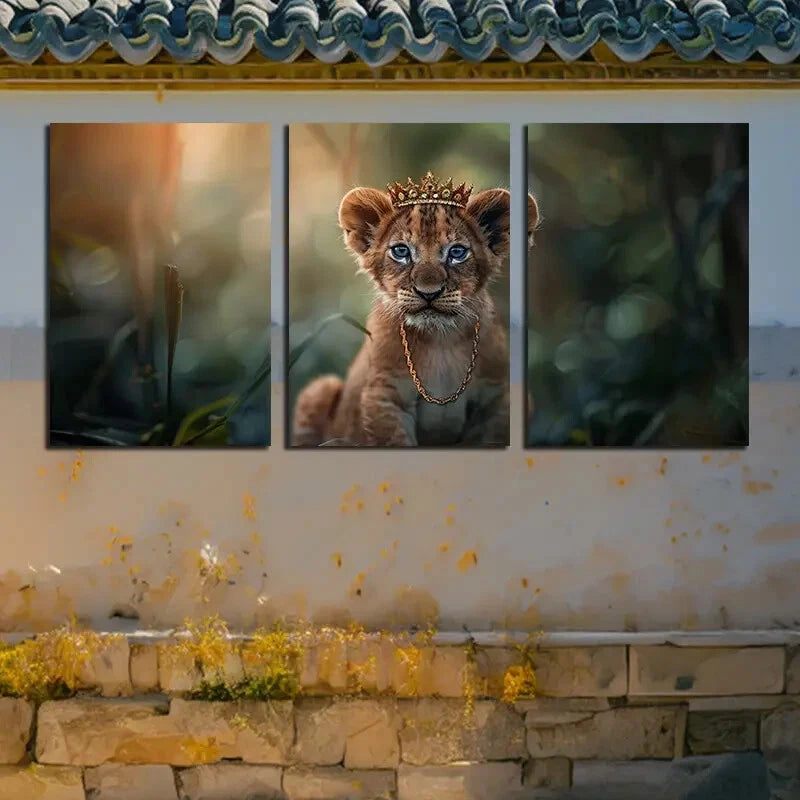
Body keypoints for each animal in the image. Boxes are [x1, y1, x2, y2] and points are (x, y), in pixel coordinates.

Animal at [292, 171, 538, 447]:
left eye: (457, 252)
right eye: (401, 251)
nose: (428, 293)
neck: (441, 339)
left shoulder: (499, 399)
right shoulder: (385, 395)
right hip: (319, 389)